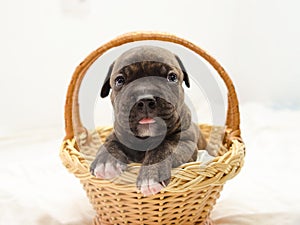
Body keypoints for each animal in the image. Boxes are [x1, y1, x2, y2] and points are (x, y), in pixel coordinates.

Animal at [89, 45, 206, 195]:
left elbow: (163, 147)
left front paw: (150, 176)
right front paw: (105, 162)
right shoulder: (117, 134)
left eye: (172, 77)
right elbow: (109, 142)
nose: (145, 100)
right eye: (119, 80)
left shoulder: (186, 142)